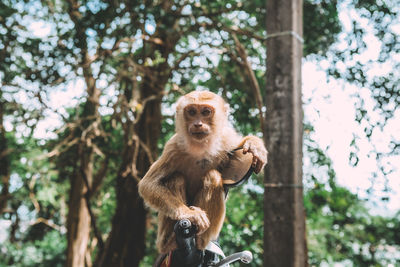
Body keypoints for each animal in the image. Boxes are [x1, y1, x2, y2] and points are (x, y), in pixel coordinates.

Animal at [138, 91, 268, 254]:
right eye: (192, 112)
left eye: (206, 112)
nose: (198, 124)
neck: (200, 148)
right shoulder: (173, 147)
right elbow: (148, 184)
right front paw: (189, 214)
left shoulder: (226, 138)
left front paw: (254, 144)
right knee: (176, 178)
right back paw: (171, 242)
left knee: (213, 176)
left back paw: (200, 240)